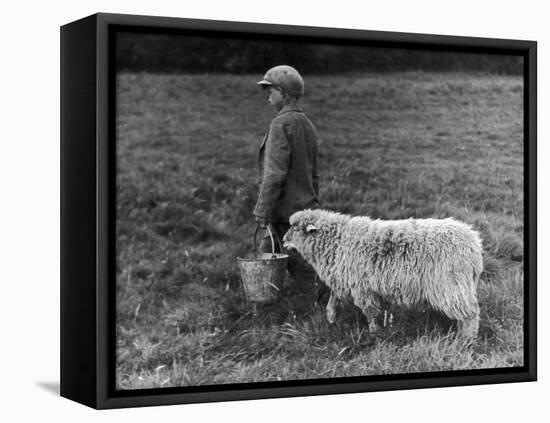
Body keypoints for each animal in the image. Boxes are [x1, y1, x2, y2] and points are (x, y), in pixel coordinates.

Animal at [282, 210, 486, 342]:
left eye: (295, 228)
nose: (283, 241)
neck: (337, 241)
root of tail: (473, 243)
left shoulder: (361, 287)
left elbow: (370, 312)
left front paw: (375, 333)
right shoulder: (343, 280)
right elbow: (334, 299)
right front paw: (331, 319)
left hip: (451, 285)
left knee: (470, 314)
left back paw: (467, 341)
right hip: (461, 285)